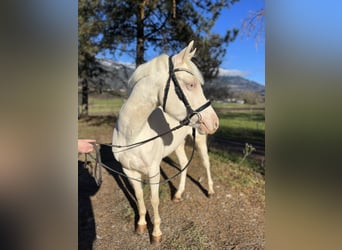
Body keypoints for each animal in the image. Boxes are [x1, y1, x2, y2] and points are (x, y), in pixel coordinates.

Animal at [112, 41, 219, 244]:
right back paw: (178, 194)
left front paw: (156, 234)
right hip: (178, 145)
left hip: (200, 140)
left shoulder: (153, 171)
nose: (214, 122)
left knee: (206, 163)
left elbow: (154, 200)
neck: (132, 135)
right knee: (184, 163)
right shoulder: (128, 171)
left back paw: (210, 191)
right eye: (191, 84)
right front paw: (141, 225)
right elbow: (139, 196)